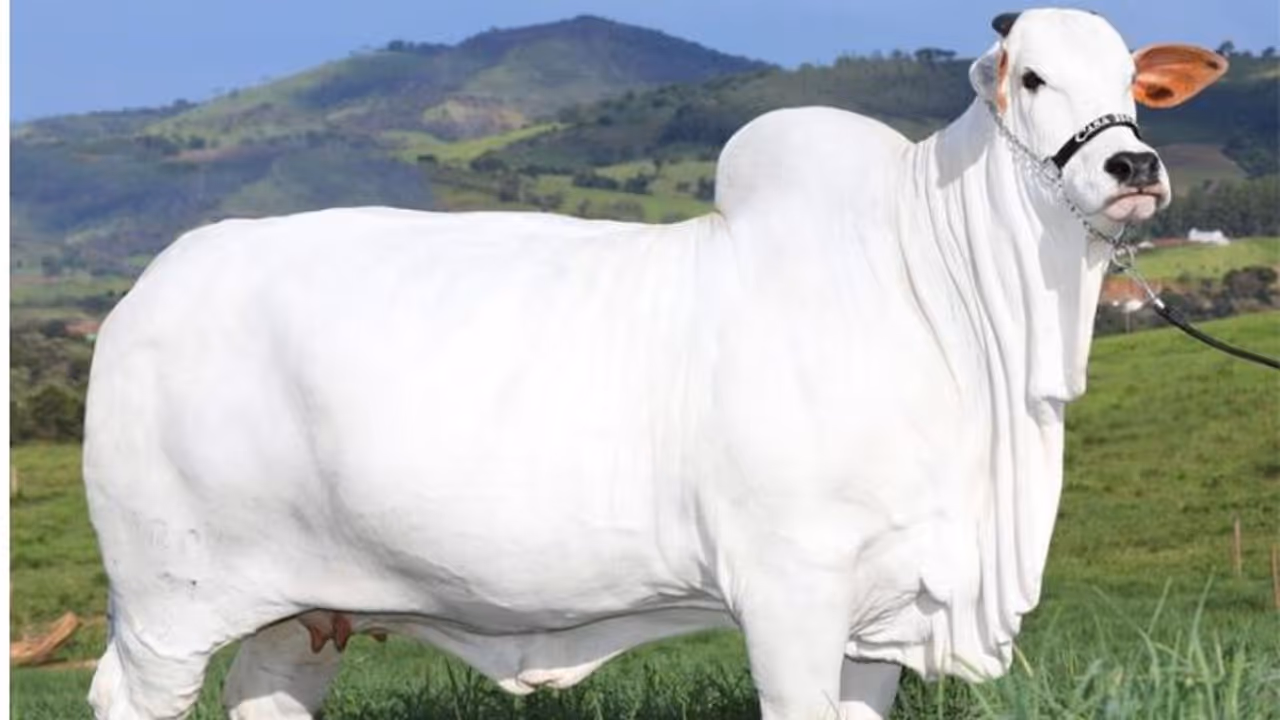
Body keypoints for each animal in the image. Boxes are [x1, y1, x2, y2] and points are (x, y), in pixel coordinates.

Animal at [82, 8, 1226, 720]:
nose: (1133, 166)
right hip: (167, 603)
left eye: (1134, 85)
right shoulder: (789, 592)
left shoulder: (883, 614)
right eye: (1031, 77)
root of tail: (148, 291)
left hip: (303, 611)